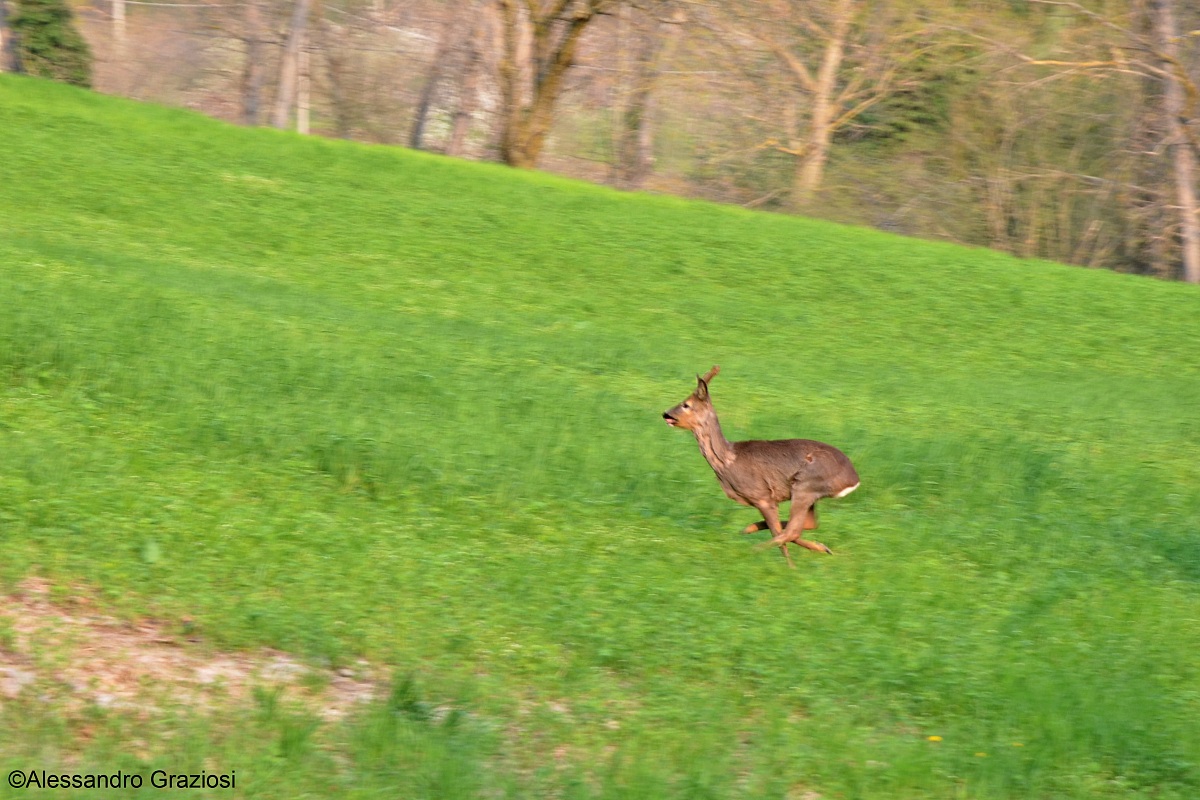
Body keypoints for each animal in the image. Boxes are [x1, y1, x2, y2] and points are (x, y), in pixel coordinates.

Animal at [662, 366, 859, 567]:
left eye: (686, 404)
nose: (666, 414)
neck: (727, 460)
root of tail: (853, 478)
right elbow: (781, 529)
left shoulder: (762, 496)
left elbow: (779, 532)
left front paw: (789, 567)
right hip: (810, 493)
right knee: (807, 525)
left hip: (806, 484)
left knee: (792, 531)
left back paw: (757, 550)